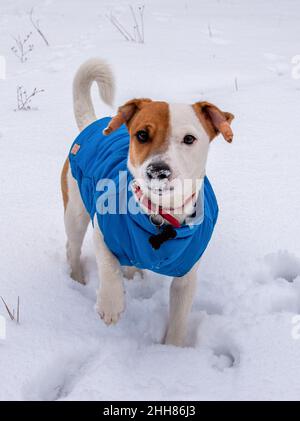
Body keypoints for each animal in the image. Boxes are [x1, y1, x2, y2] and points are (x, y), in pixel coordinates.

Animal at [61, 57, 234, 346]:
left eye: (189, 139)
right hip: (75, 211)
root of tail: (91, 125)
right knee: (72, 248)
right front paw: (110, 304)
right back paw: (77, 279)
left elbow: (179, 318)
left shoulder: (187, 276)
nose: (158, 170)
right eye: (142, 134)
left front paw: (172, 350)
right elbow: (108, 266)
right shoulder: (103, 230)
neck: (162, 216)